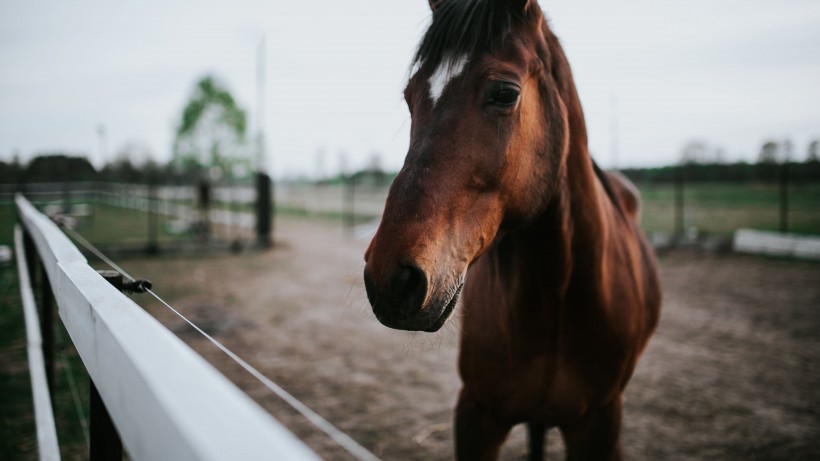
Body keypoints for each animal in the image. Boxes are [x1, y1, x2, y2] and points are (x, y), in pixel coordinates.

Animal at [364, 1, 660, 458]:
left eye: (505, 93)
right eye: (410, 97)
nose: (391, 279)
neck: (558, 292)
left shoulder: (600, 421)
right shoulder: (477, 415)